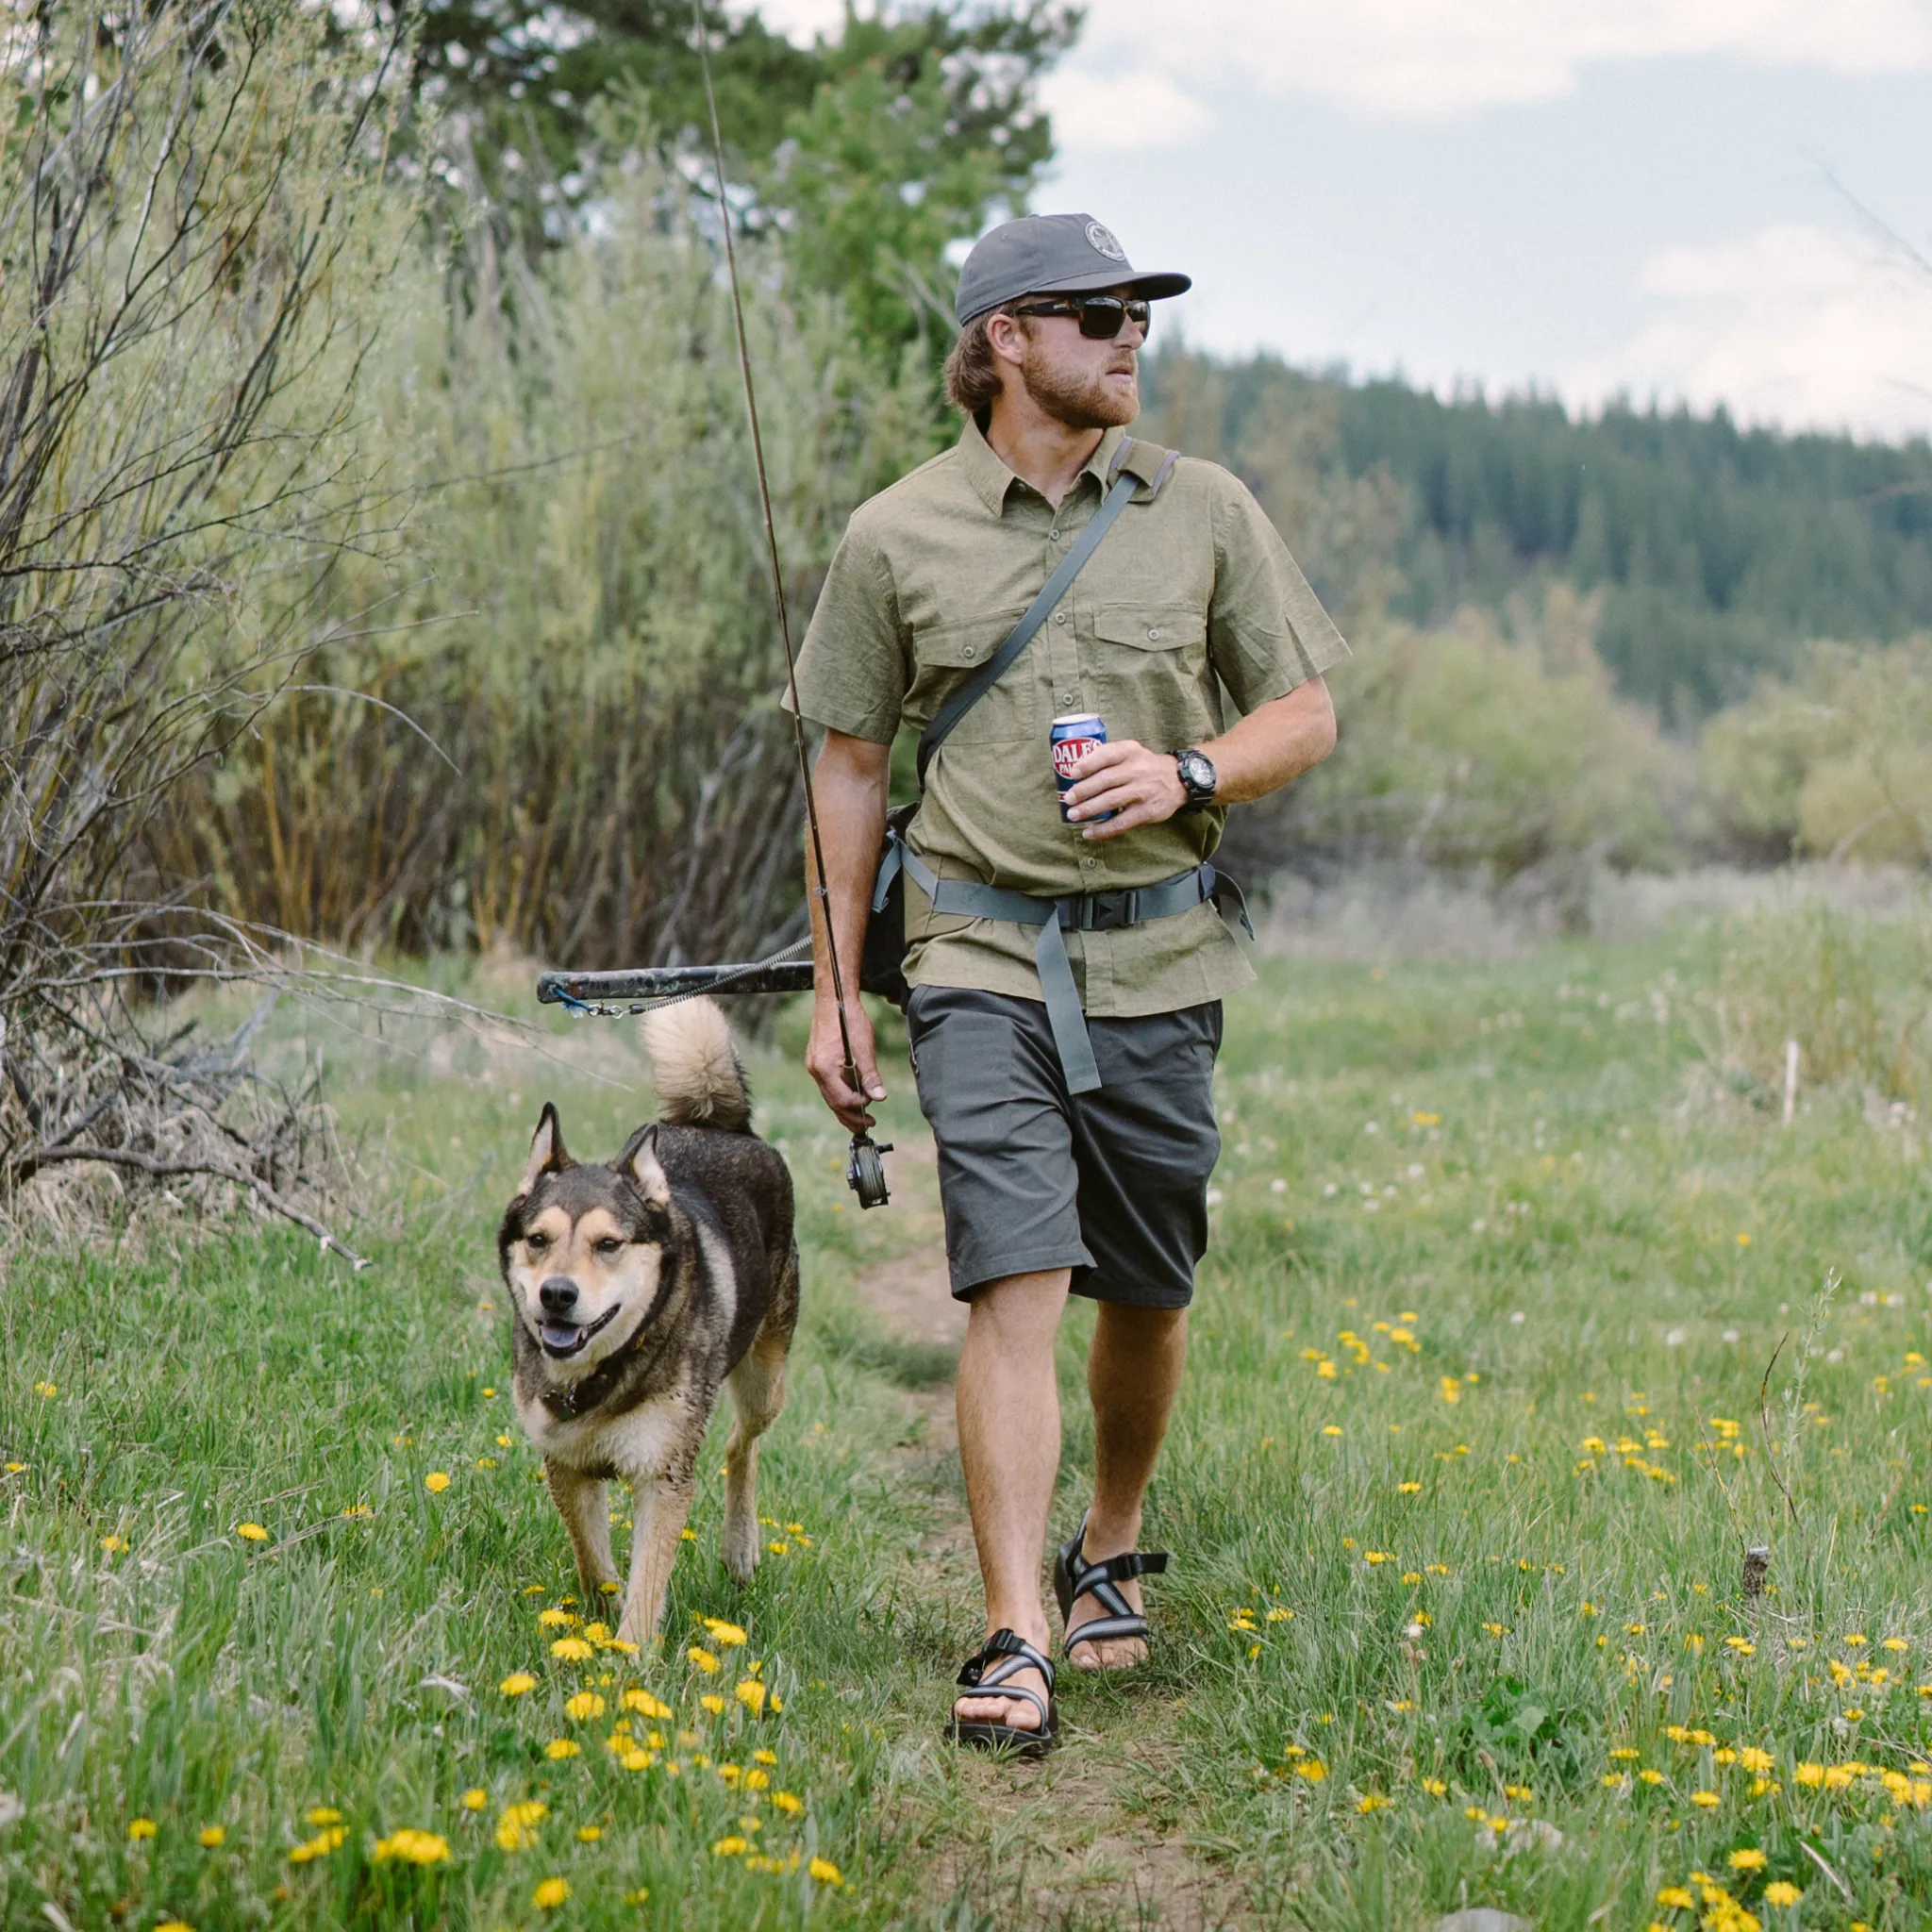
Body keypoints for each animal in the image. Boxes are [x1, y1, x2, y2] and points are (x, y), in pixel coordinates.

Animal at [506, 996, 799, 1645]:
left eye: (608, 1244)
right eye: (538, 1240)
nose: (556, 1295)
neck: (604, 1374)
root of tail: (721, 1126)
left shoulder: (664, 1477)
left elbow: (646, 1585)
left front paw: (631, 1657)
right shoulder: (565, 1465)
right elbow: (593, 1559)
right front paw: (601, 1613)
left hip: (765, 1376)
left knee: (742, 1444)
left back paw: (740, 1548)